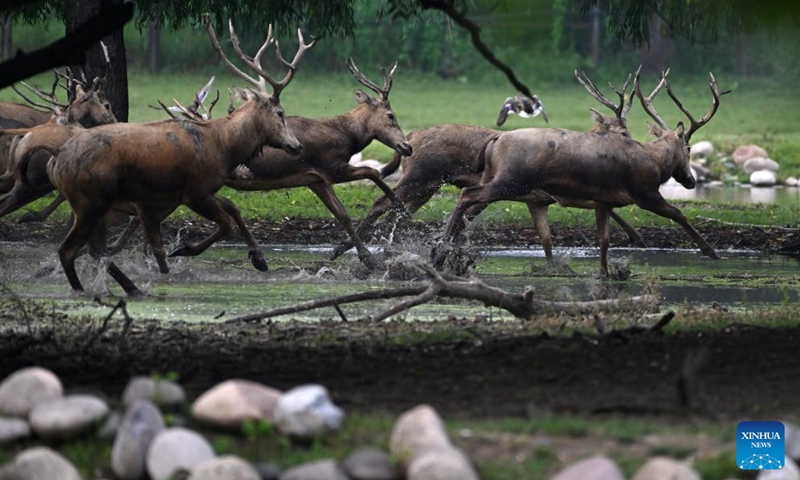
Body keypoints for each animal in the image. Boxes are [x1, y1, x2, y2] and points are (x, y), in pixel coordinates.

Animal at [44, 16, 311, 293]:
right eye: (281, 113)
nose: (297, 146)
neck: (224, 147)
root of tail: (55, 163)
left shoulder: (200, 191)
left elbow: (233, 209)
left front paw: (259, 258)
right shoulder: (195, 192)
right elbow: (223, 223)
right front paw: (183, 249)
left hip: (94, 204)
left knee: (94, 249)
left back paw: (130, 287)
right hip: (90, 201)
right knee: (69, 250)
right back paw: (87, 289)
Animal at [330, 70, 647, 263]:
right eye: (623, 131)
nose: (637, 149)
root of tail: (410, 138)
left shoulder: (537, 198)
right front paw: (637, 237)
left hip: (427, 186)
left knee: (398, 208)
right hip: (419, 177)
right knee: (382, 202)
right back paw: (350, 248)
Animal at [432, 66, 727, 277]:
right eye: (688, 148)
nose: (691, 181)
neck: (655, 163)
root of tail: (495, 140)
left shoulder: (604, 200)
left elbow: (604, 240)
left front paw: (604, 273)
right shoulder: (644, 192)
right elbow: (678, 214)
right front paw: (710, 251)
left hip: (498, 178)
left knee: (469, 204)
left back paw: (440, 252)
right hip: (511, 179)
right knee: (467, 195)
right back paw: (440, 252)